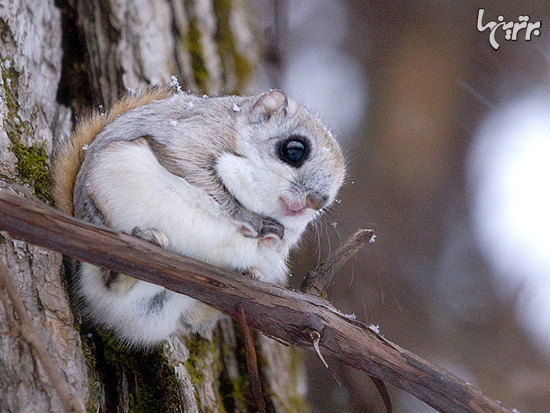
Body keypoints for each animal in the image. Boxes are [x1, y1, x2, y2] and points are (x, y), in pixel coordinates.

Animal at [51, 87, 344, 348]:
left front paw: (272, 238)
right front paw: (249, 219)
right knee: (109, 281)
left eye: (333, 194)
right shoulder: (191, 141)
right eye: (294, 150)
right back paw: (142, 243)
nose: (317, 201)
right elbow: (205, 181)